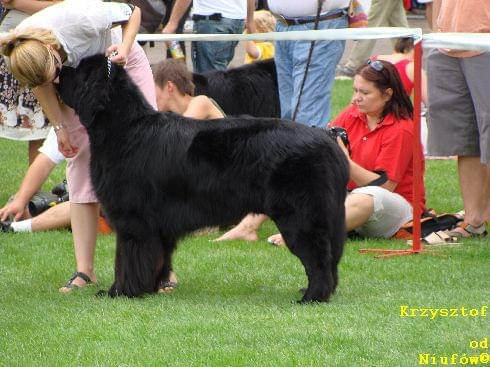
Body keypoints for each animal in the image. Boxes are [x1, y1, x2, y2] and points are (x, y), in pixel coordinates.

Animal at [56, 54, 348, 302]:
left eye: (79, 70)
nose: (59, 70)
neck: (124, 129)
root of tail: (328, 140)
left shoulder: (133, 220)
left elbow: (128, 258)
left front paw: (121, 291)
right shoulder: (158, 226)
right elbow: (158, 258)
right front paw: (151, 288)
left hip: (300, 216)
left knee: (319, 257)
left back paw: (312, 296)